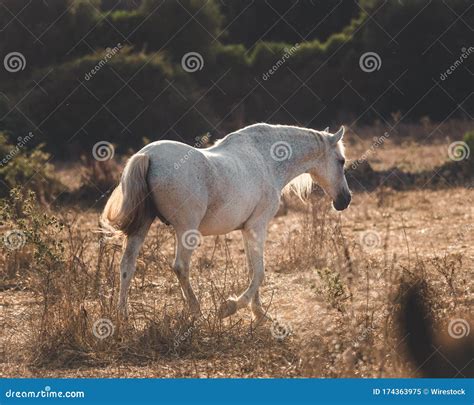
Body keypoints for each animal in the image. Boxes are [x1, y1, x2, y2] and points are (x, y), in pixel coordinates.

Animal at [101, 121, 352, 320]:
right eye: (341, 161)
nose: (345, 200)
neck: (267, 159)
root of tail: (147, 155)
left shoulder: (246, 230)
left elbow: (252, 270)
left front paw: (259, 314)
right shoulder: (257, 227)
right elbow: (259, 272)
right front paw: (230, 307)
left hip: (142, 226)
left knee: (127, 265)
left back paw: (123, 316)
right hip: (186, 230)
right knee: (180, 267)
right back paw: (196, 311)